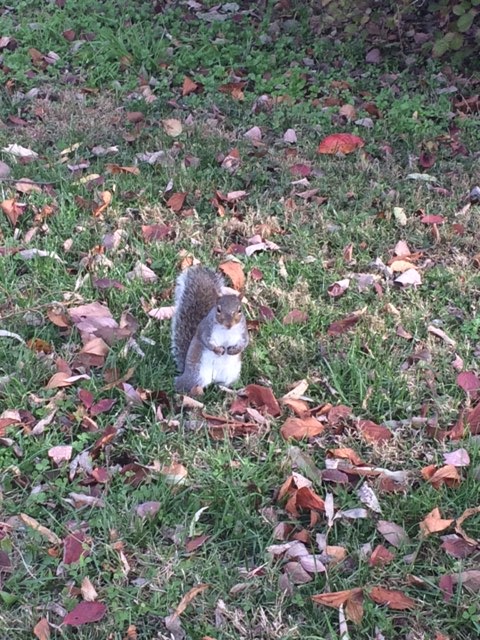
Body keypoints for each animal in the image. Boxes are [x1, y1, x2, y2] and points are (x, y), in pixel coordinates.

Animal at [171, 264, 249, 396]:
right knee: (186, 386)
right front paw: (218, 350)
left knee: (221, 386)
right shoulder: (206, 329)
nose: (229, 324)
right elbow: (206, 341)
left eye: (239, 310)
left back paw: (236, 392)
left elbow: (245, 342)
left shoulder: (243, 331)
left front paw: (234, 351)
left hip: (229, 376)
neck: (227, 331)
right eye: (218, 309)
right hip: (197, 375)